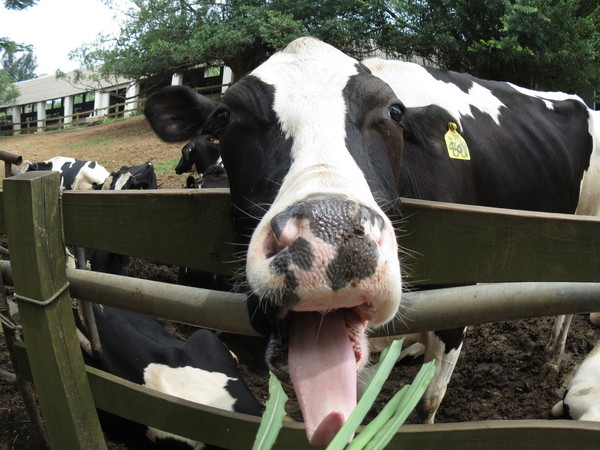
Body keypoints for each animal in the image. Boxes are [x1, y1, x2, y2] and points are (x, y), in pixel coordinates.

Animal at [144, 37, 600, 444]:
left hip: (581, 224)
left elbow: (428, 401)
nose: (328, 238)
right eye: (224, 117)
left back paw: (551, 359)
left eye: (395, 112)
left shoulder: (462, 303)